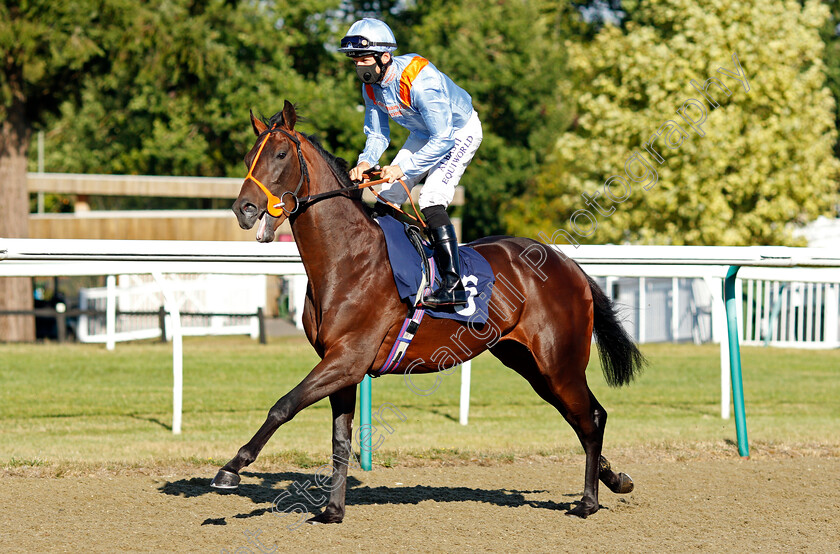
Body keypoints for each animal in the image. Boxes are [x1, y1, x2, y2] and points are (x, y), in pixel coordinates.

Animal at [213, 101, 648, 520]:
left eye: (281, 154)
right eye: (249, 156)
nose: (244, 209)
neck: (346, 259)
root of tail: (567, 263)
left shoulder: (347, 359)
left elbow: (283, 406)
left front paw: (231, 468)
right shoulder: (341, 365)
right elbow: (339, 438)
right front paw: (332, 510)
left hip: (560, 362)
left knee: (590, 417)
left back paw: (589, 501)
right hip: (528, 363)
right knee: (582, 416)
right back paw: (616, 479)